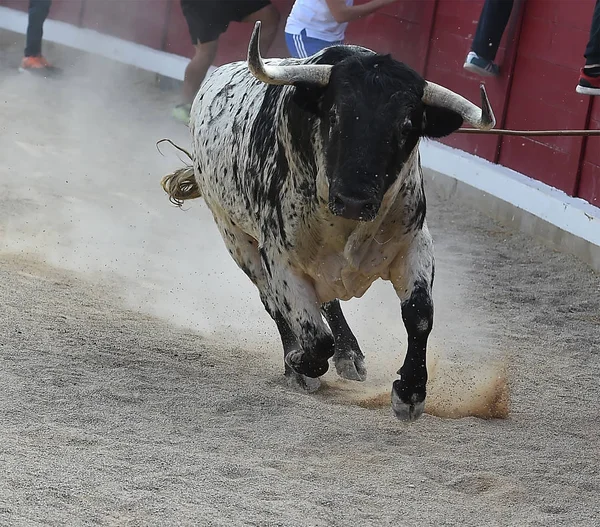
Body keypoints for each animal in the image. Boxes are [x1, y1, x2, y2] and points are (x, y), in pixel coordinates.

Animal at [162, 22, 494, 422]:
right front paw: (297, 363)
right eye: (334, 116)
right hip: (235, 237)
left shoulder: (415, 243)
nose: (354, 199)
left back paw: (350, 355)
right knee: (274, 303)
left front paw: (410, 393)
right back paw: (301, 363)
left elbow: (418, 314)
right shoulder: (280, 259)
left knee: (327, 303)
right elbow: (315, 338)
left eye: (406, 126)